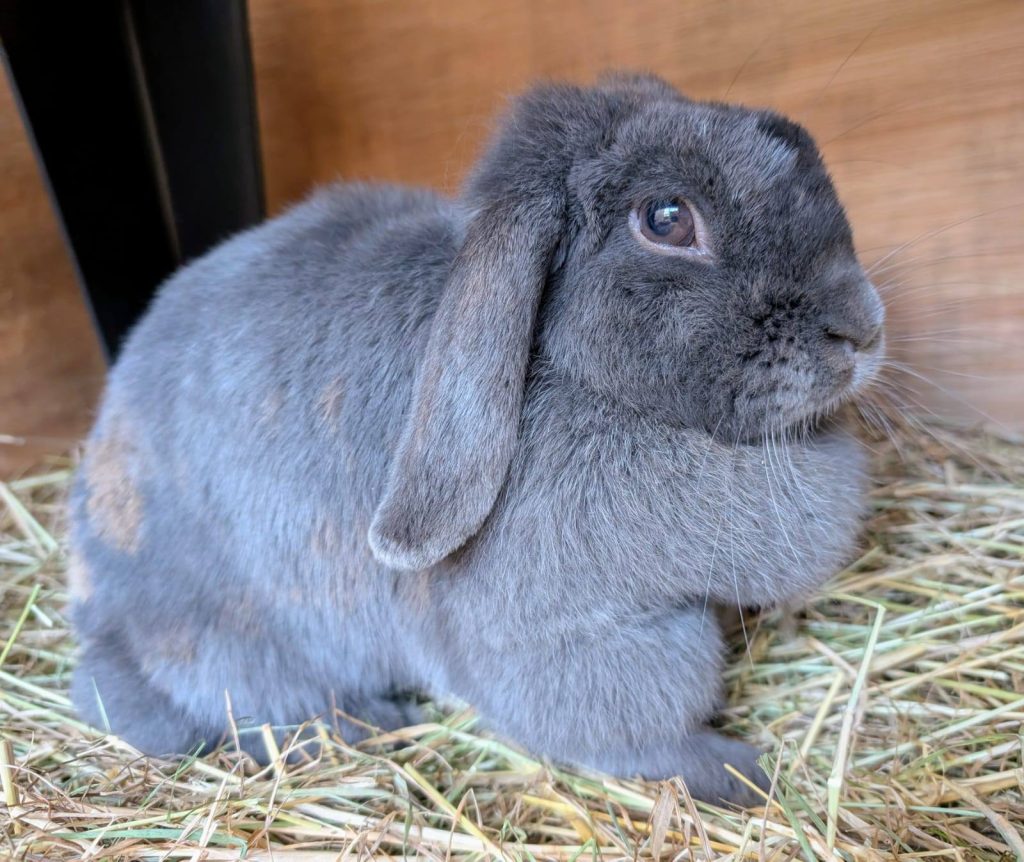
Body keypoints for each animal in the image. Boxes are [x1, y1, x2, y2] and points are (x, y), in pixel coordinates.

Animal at [67, 72, 884, 807]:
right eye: (665, 218)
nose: (863, 327)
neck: (584, 381)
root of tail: (98, 605)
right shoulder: (588, 638)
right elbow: (634, 735)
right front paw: (739, 772)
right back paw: (358, 725)